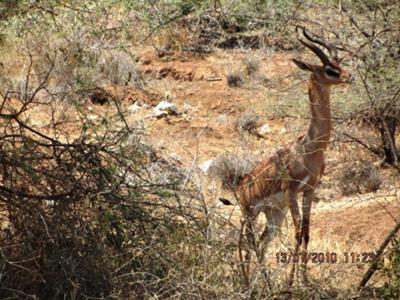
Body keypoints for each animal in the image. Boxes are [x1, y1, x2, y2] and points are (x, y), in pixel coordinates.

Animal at [219, 26, 354, 286]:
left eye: (338, 63)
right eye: (329, 69)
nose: (349, 76)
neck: (309, 147)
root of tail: (242, 184)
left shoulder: (310, 189)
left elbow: (307, 232)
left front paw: (305, 280)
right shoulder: (292, 191)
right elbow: (298, 232)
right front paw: (292, 282)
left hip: (274, 213)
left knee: (262, 242)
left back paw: (265, 281)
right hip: (250, 213)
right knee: (247, 241)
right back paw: (247, 281)